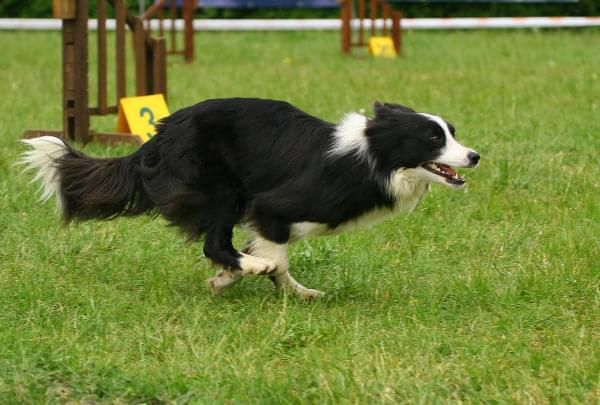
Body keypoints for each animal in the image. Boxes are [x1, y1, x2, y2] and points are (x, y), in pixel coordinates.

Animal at [21, 98, 480, 296]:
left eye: (452, 132)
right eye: (433, 138)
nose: (475, 156)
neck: (374, 156)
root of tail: (160, 134)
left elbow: (270, 251)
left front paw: (241, 280)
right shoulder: (272, 205)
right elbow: (278, 258)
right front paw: (255, 274)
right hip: (223, 189)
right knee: (213, 240)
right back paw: (251, 266)